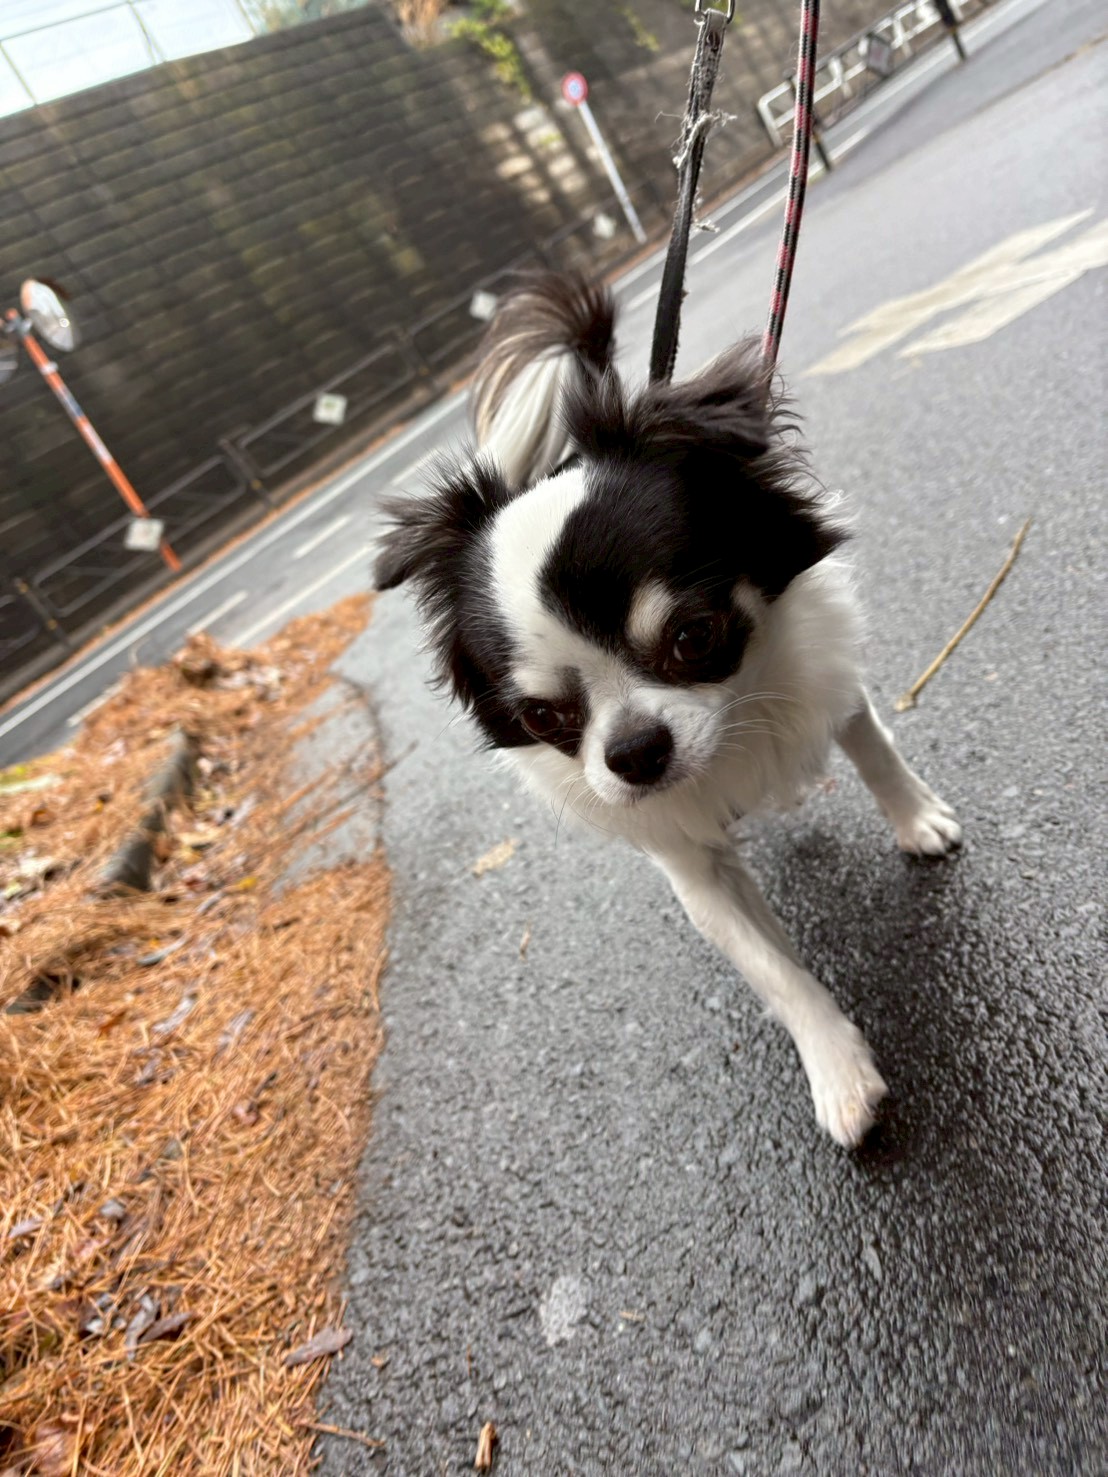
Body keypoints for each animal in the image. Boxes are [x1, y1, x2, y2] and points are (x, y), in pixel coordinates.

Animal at [375, 273, 961, 1148]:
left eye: (692, 637)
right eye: (543, 716)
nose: (634, 750)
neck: (735, 721)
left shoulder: (828, 682)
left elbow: (874, 748)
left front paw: (917, 819)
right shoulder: (690, 862)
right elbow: (774, 971)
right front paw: (837, 1068)